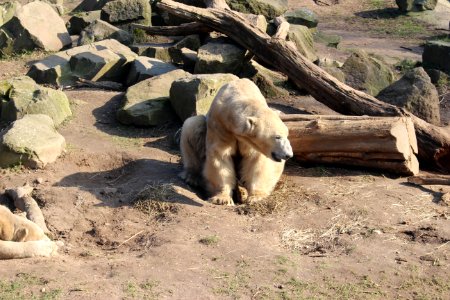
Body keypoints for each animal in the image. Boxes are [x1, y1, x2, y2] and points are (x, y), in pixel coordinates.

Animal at [181, 78, 294, 206]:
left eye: (286, 134)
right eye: (277, 137)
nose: (289, 155)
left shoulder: (249, 141)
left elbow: (256, 161)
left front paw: (255, 197)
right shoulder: (220, 126)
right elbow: (220, 156)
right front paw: (222, 199)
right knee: (192, 125)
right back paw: (191, 177)